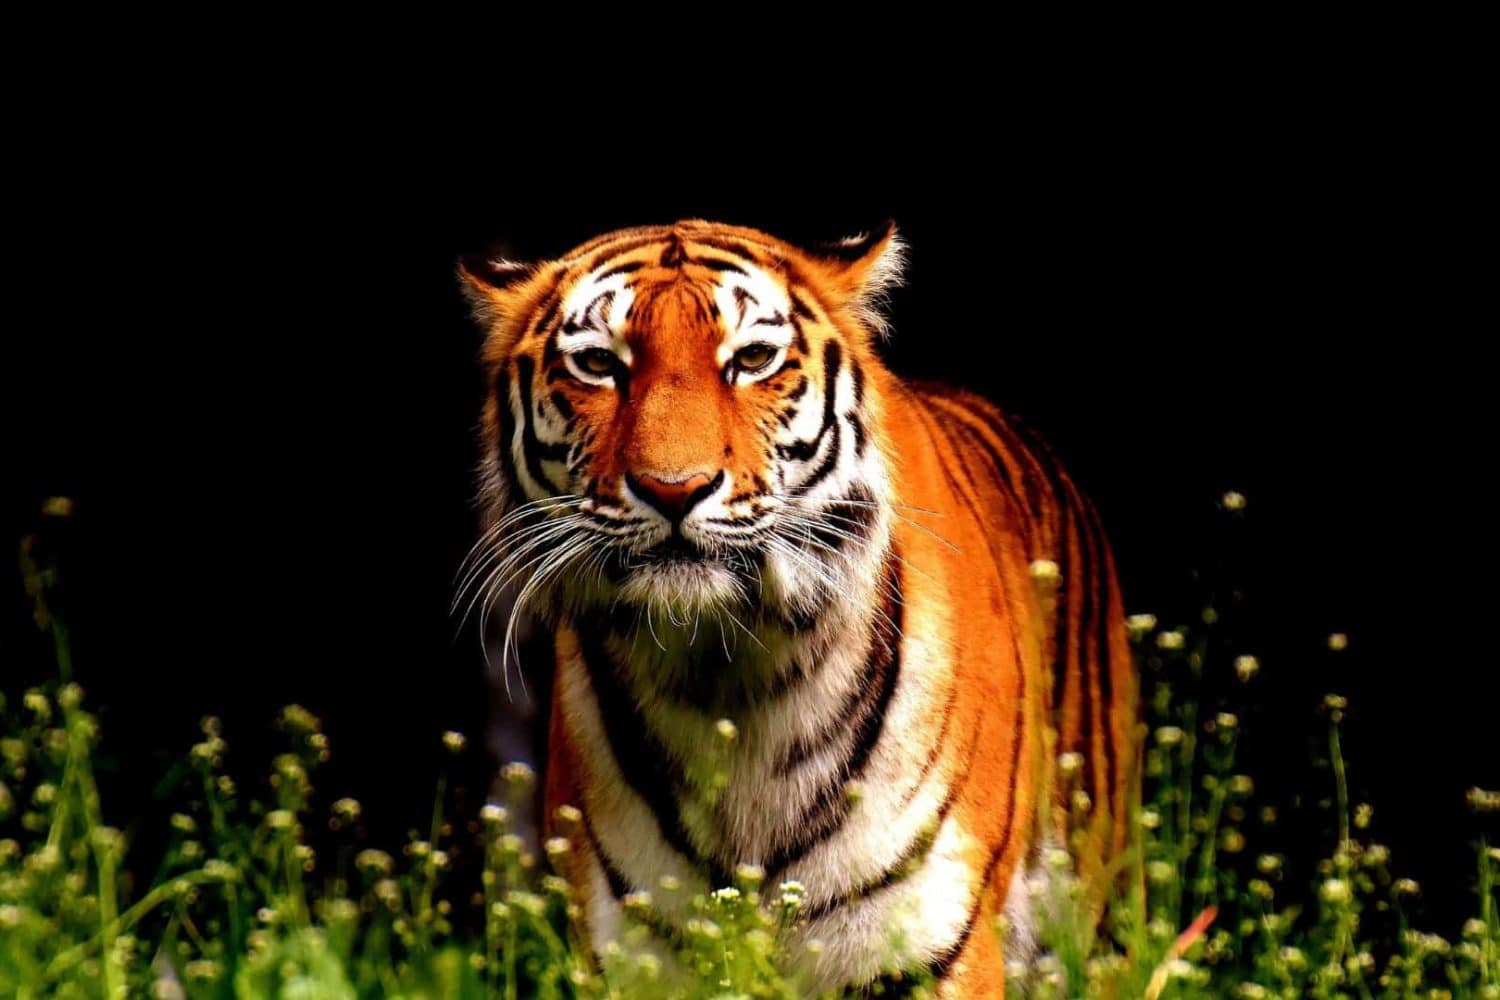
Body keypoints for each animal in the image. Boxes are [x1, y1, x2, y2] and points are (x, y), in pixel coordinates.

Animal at [457, 219, 1138, 997]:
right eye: (599, 364)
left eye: (752, 359)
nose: (672, 488)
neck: (724, 683)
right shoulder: (630, 957)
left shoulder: (926, 949)